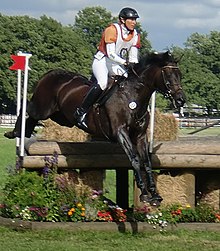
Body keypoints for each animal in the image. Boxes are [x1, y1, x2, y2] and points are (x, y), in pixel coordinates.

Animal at [4, 50, 185, 206]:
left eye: (180, 75)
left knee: (32, 117)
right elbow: (134, 160)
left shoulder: (140, 136)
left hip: (61, 117)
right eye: (168, 75)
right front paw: (144, 193)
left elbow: (146, 162)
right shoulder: (120, 132)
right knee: (26, 107)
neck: (132, 97)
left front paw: (154, 194)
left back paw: (24, 132)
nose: (181, 100)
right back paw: (13, 132)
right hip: (44, 108)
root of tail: (50, 73)